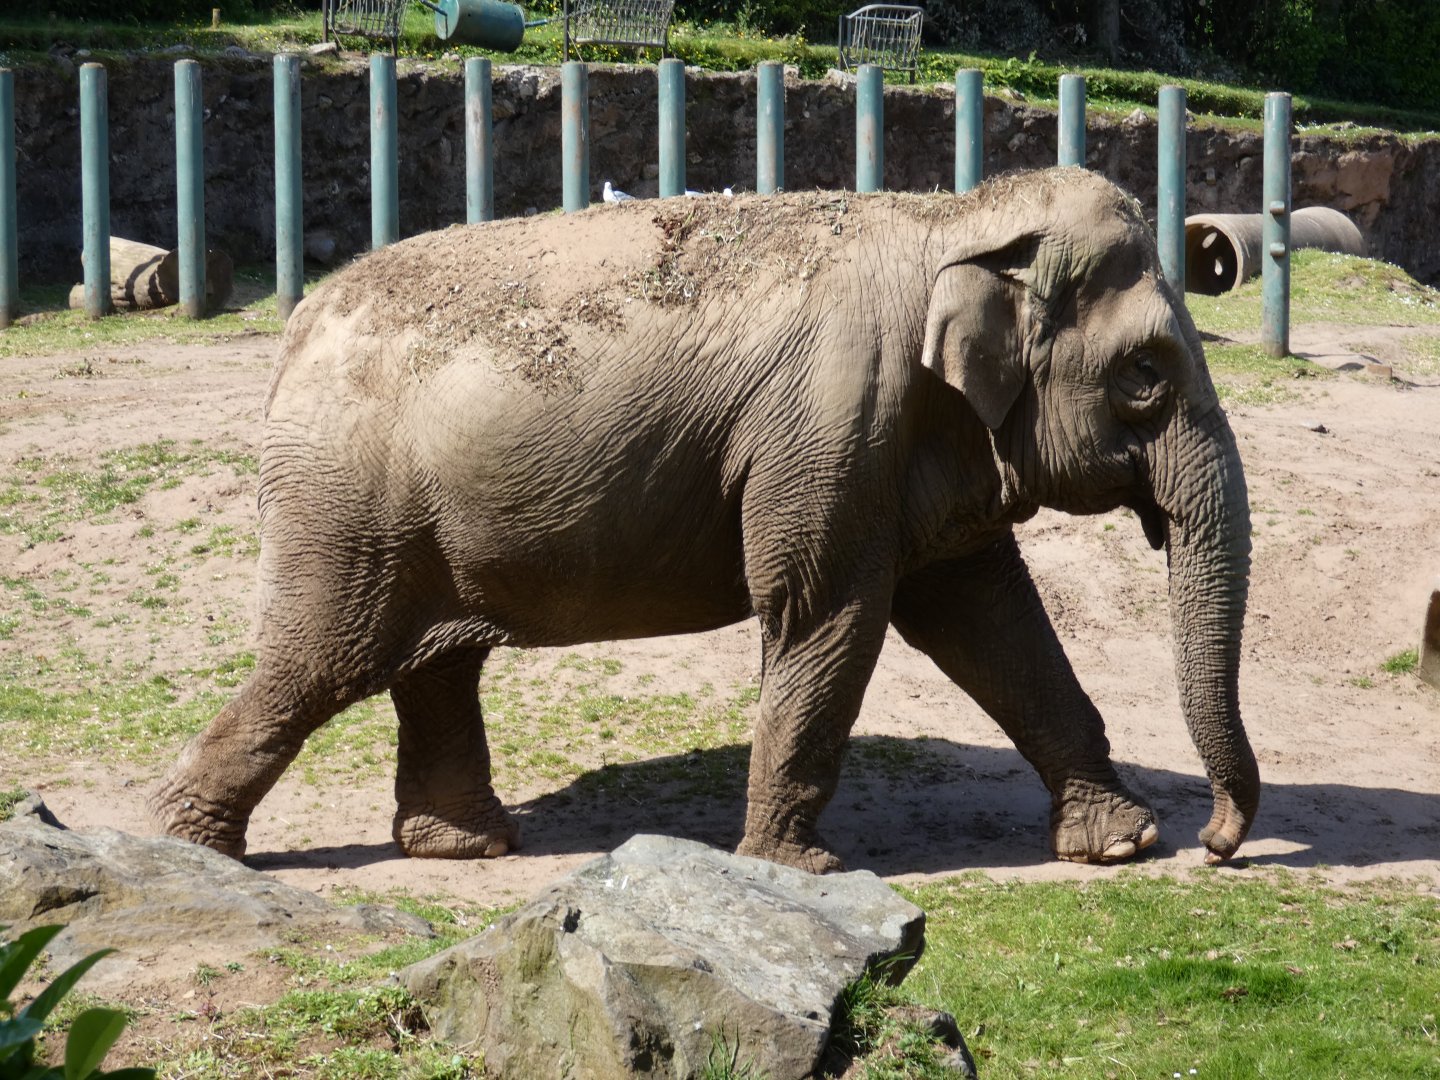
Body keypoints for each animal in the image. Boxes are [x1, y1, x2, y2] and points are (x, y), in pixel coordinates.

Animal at [150, 167, 1259, 873]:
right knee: (321, 660)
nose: (1216, 846)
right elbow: (825, 613)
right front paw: (799, 869)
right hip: (347, 508)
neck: (953, 219)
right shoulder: (830, 425)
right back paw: (185, 848)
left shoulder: (915, 441)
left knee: (433, 662)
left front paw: (1120, 844)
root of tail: (295, 328)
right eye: (1145, 376)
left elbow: (988, 617)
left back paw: (466, 847)